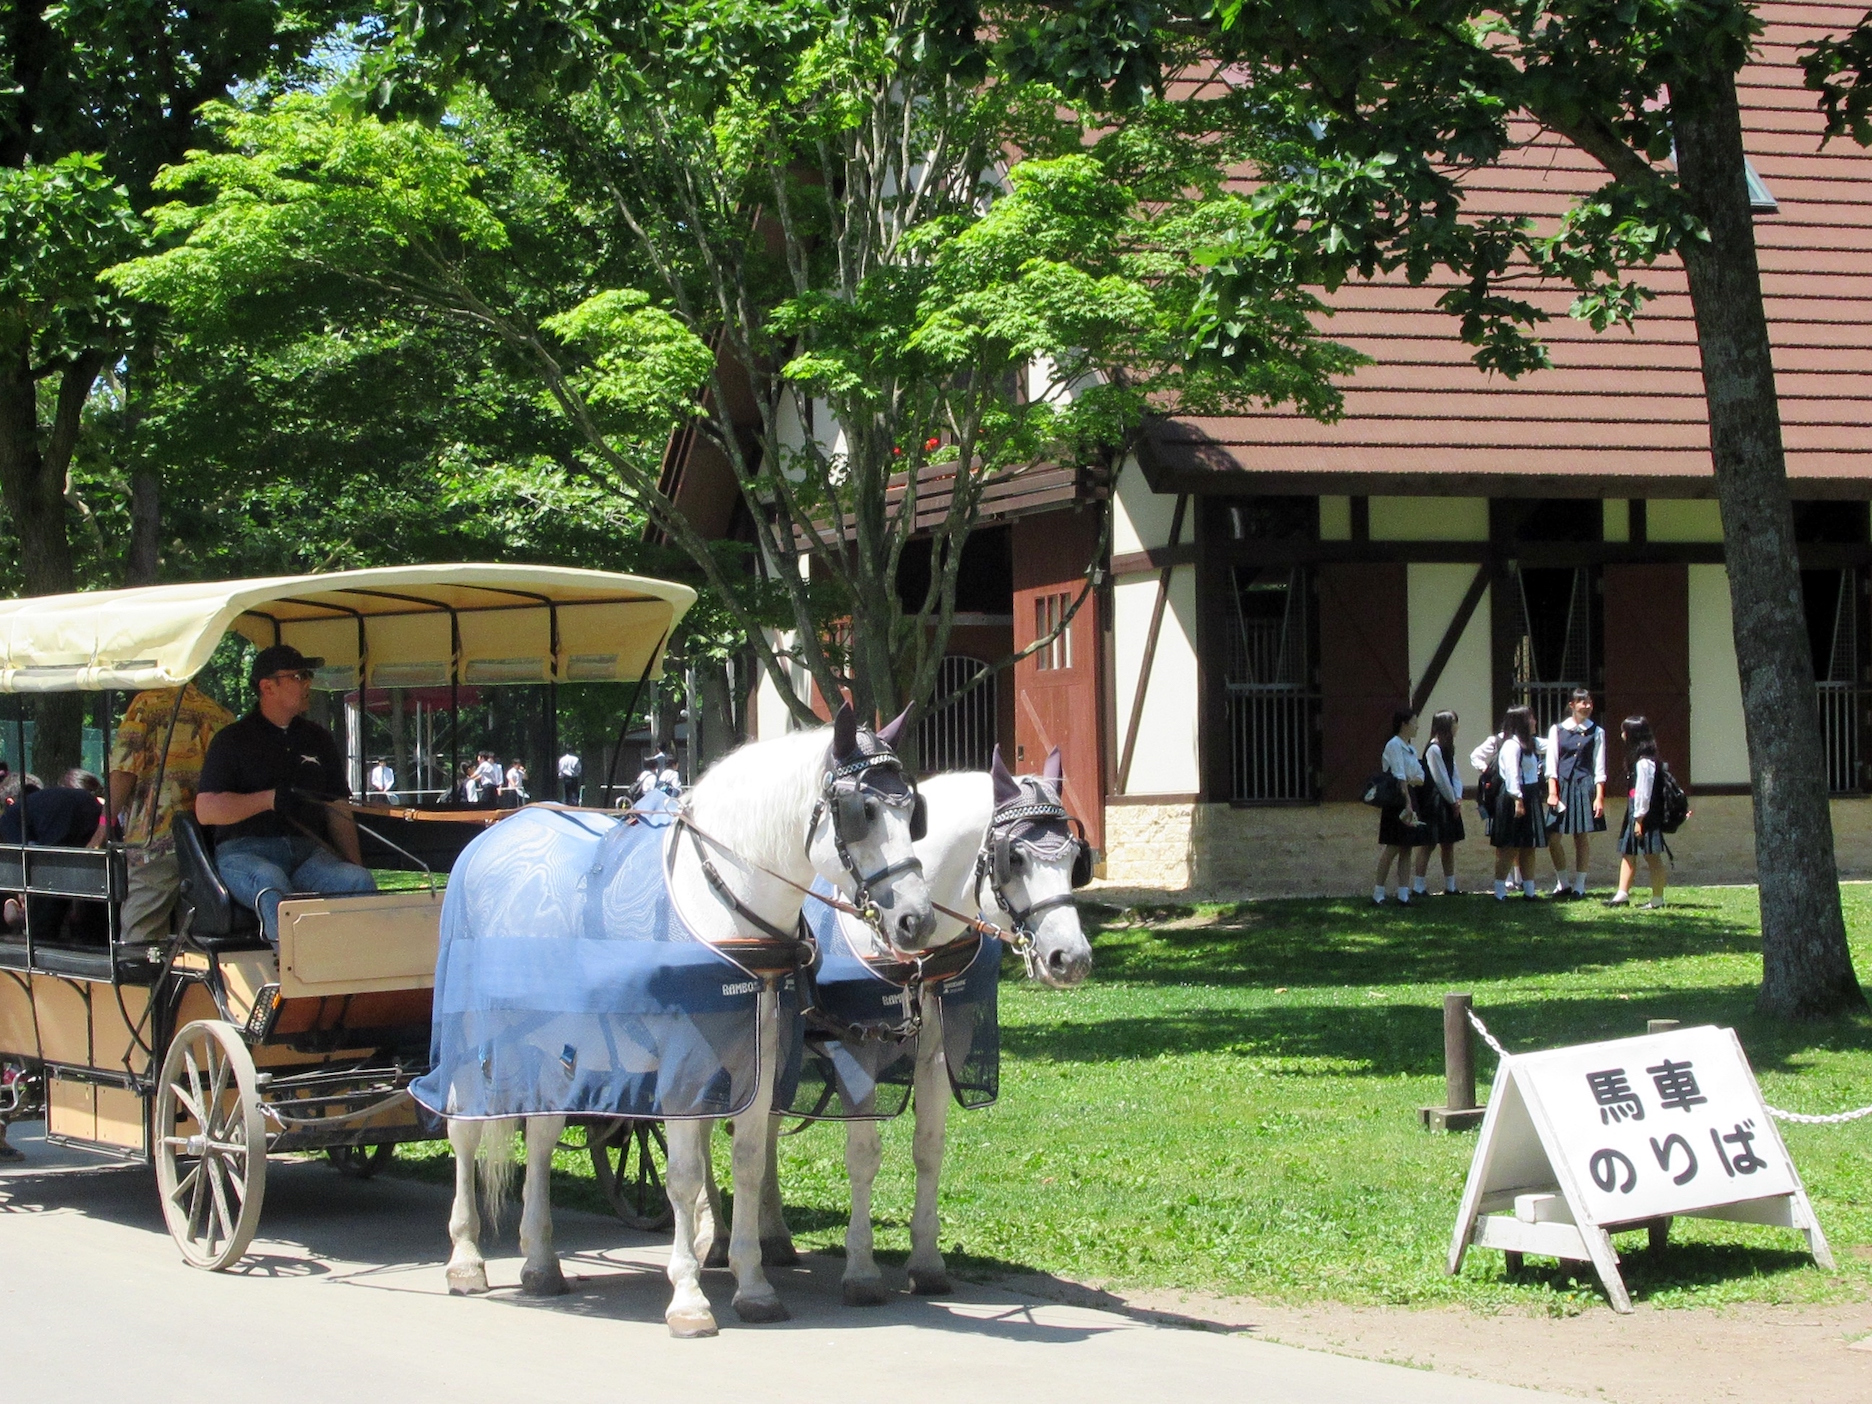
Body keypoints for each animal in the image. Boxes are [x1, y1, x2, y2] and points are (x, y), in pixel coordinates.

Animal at [438, 707, 936, 1332]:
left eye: (911, 810)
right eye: (861, 811)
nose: (916, 920)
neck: (720, 906)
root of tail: (491, 836)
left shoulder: (757, 1060)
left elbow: (748, 1162)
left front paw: (753, 1284)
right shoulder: (681, 1066)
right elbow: (683, 1177)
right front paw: (690, 1298)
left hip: (555, 1041)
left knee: (544, 1131)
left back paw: (541, 1261)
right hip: (474, 1036)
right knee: (464, 1128)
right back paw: (465, 1257)